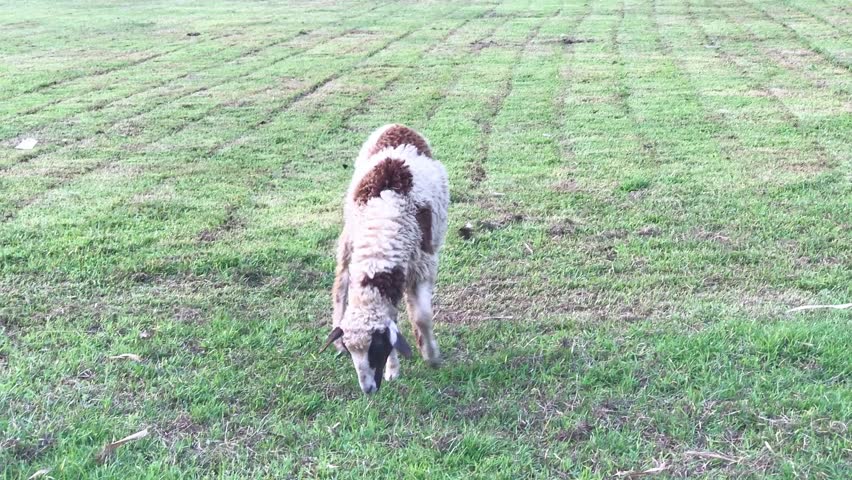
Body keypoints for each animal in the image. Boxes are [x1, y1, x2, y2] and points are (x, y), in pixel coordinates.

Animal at [320, 124, 449, 394]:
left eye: (376, 347)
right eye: (351, 351)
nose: (368, 390)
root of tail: (396, 126)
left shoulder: (423, 266)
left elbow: (422, 317)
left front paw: (431, 356)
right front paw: (393, 370)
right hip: (348, 237)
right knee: (340, 283)